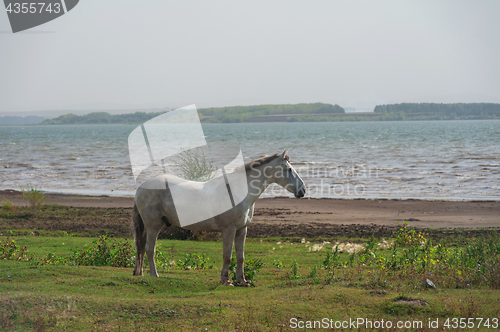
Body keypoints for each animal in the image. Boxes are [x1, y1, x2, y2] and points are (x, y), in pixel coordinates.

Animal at [131, 150, 306, 286]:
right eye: (288, 169)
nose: (303, 190)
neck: (238, 191)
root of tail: (141, 187)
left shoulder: (242, 230)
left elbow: (240, 257)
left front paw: (242, 281)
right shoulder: (229, 230)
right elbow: (227, 256)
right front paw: (225, 280)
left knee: (142, 248)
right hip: (153, 227)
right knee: (149, 249)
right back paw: (154, 275)